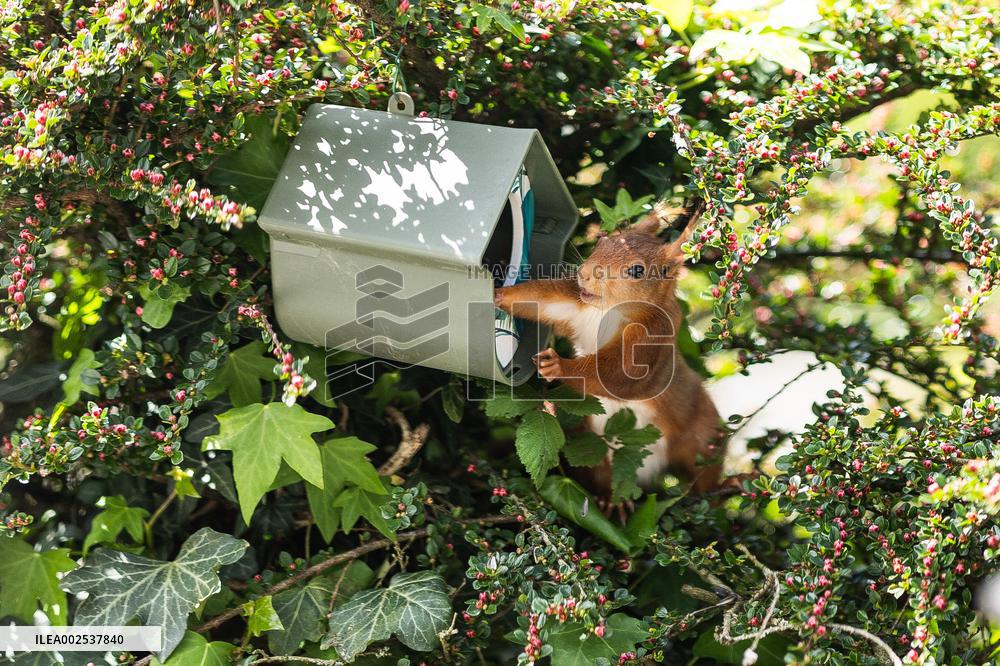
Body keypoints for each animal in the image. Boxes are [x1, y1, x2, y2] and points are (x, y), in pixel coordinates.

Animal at [494, 202, 724, 494]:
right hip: (590, 443)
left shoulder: (650, 339)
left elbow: (618, 375)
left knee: (706, 473)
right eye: (603, 240)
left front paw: (559, 365)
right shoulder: (576, 306)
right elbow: (538, 300)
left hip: (703, 436)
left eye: (637, 271)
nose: (584, 274)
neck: (608, 311)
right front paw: (497, 293)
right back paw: (611, 501)